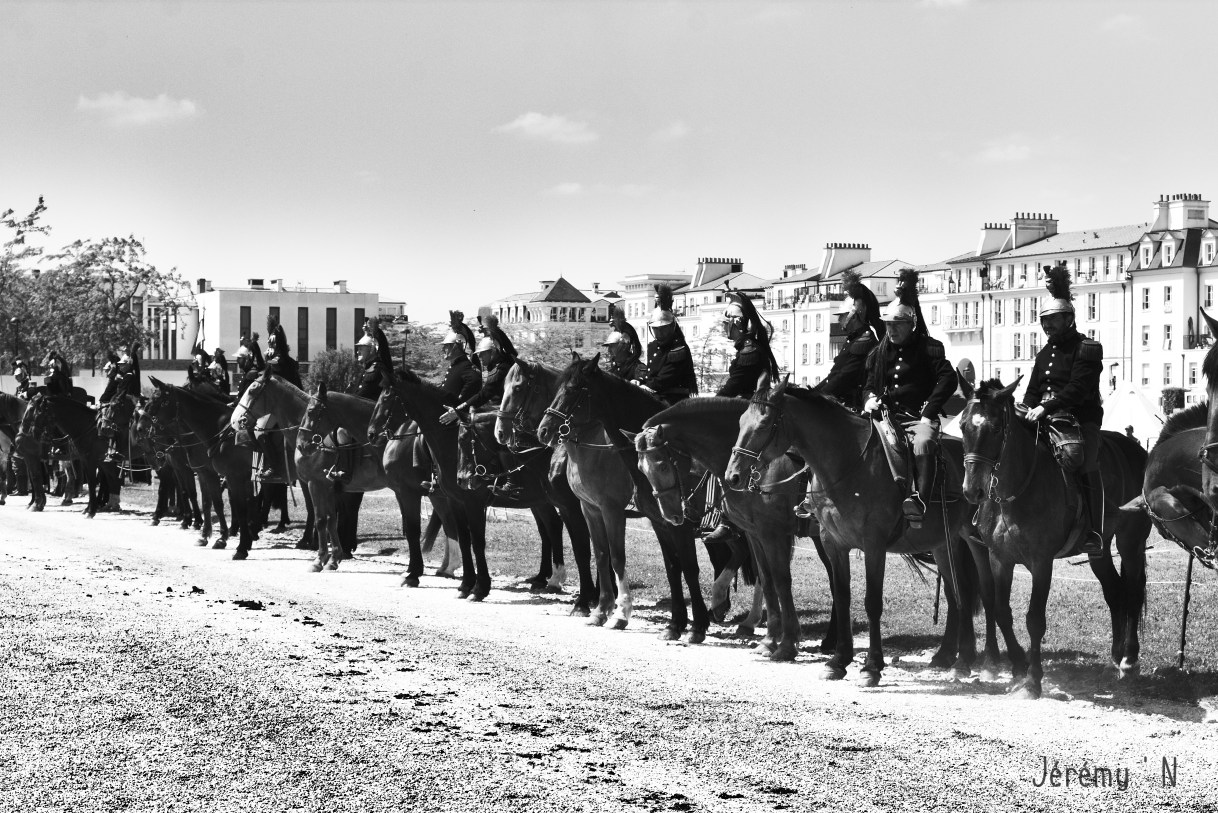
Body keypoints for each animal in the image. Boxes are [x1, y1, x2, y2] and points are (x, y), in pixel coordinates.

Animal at [144, 382, 254, 560]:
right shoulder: (201, 472)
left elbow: (216, 502)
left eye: (158, 402)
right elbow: (206, 501)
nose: (149, 433)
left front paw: (221, 537)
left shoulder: (211, 473)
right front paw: (204, 535)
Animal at [533, 353, 721, 643]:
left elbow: (625, 558)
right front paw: (602, 610)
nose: (543, 431)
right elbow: (606, 556)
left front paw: (621, 613)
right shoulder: (597, 510)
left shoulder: (622, 512)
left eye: (574, 389)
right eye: (556, 389)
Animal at [721, 375, 989, 687]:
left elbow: (871, 602)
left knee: (973, 589)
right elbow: (842, 596)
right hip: (943, 544)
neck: (847, 463)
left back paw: (970, 660)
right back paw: (951, 657)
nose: (732, 476)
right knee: (956, 591)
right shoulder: (833, 543)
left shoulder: (873, 544)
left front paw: (872, 667)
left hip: (972, 539)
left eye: (764, 424)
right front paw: (838, 661)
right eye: (741, 421)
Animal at [954, 377, 1144, 702]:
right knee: (1115, 591)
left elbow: (1034, 620)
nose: (972, 490)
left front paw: (1033, 680)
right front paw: (1018, 667)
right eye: (963, 425)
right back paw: (1115, 658)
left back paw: (1129, 660)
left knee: (1133, 590)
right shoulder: (999, 559)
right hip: (1100, 551)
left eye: (996, 428)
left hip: (1130, 542)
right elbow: (1002, 611)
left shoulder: (1041, 563)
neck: (1015, 490)